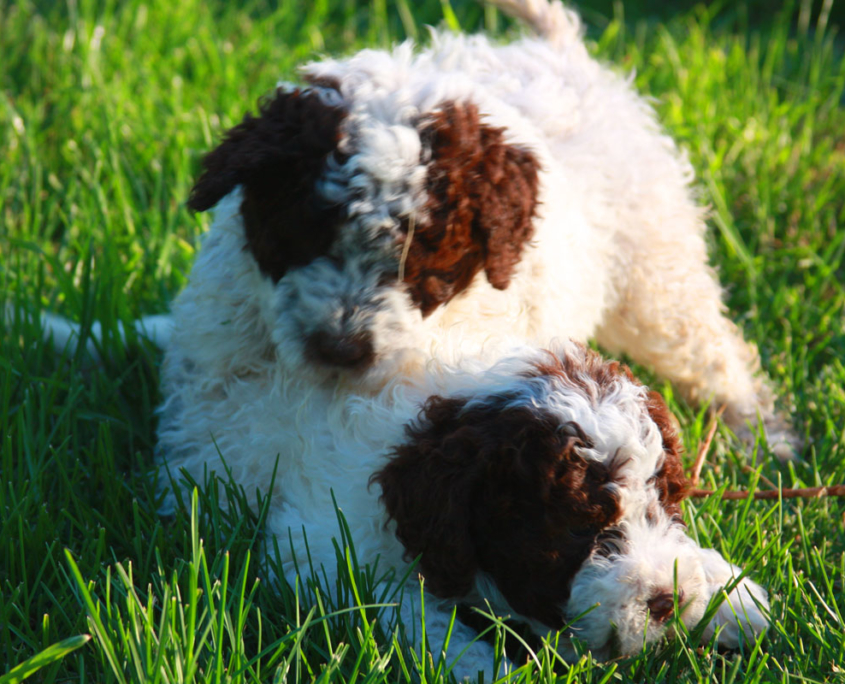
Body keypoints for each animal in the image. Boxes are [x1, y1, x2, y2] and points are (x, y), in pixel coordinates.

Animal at [160, 340, 772, 680]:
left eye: (665, 504)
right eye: (579, 526)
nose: (668, 601)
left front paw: (733, 598)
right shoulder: (321, 550)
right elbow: (407, 611)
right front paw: (484, 668)